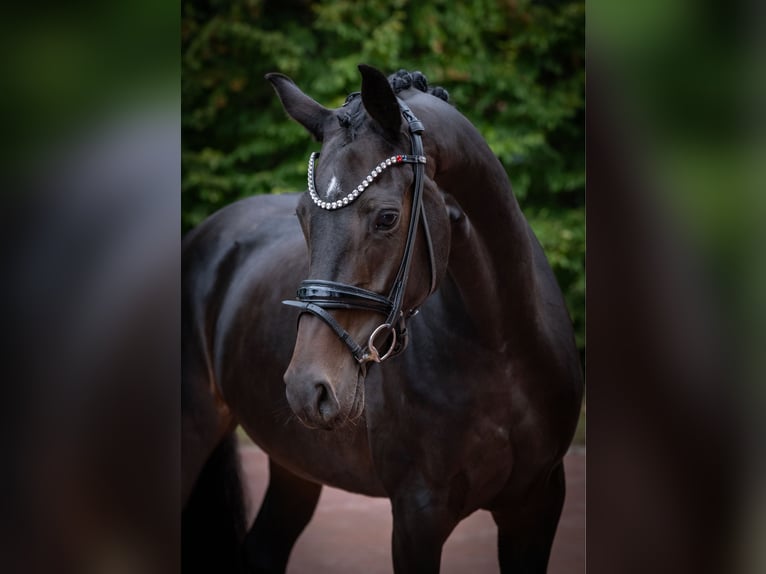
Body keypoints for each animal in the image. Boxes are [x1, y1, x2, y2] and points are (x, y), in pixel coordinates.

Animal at [181, 64, 583, 574]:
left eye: (387, 218)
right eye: (302, 216)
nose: (308, 387)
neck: (502, 347)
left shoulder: (537, 504)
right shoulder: (417, 515)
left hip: (296, 464)